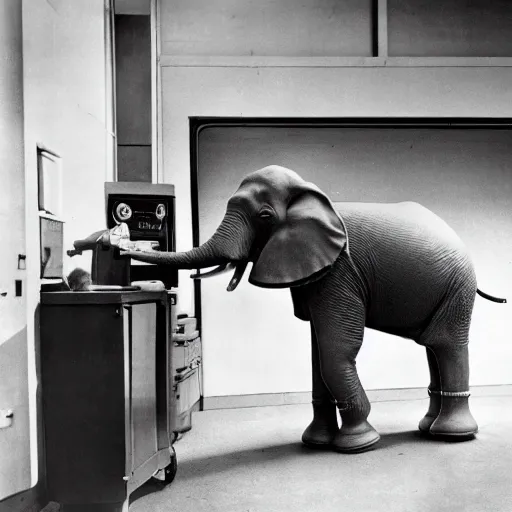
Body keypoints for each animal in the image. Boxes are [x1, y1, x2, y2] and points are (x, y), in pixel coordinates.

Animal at [118, 166, 506, 454]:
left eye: (264, 215)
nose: (117, 242)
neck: (310, 195)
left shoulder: (339, 270)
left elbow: (337, 347)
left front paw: (359, 445)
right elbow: (317, 348)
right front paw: (318, 443)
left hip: (457, 287)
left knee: (446, 345)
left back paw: (452, 437)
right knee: (431, 348)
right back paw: (427, 428)